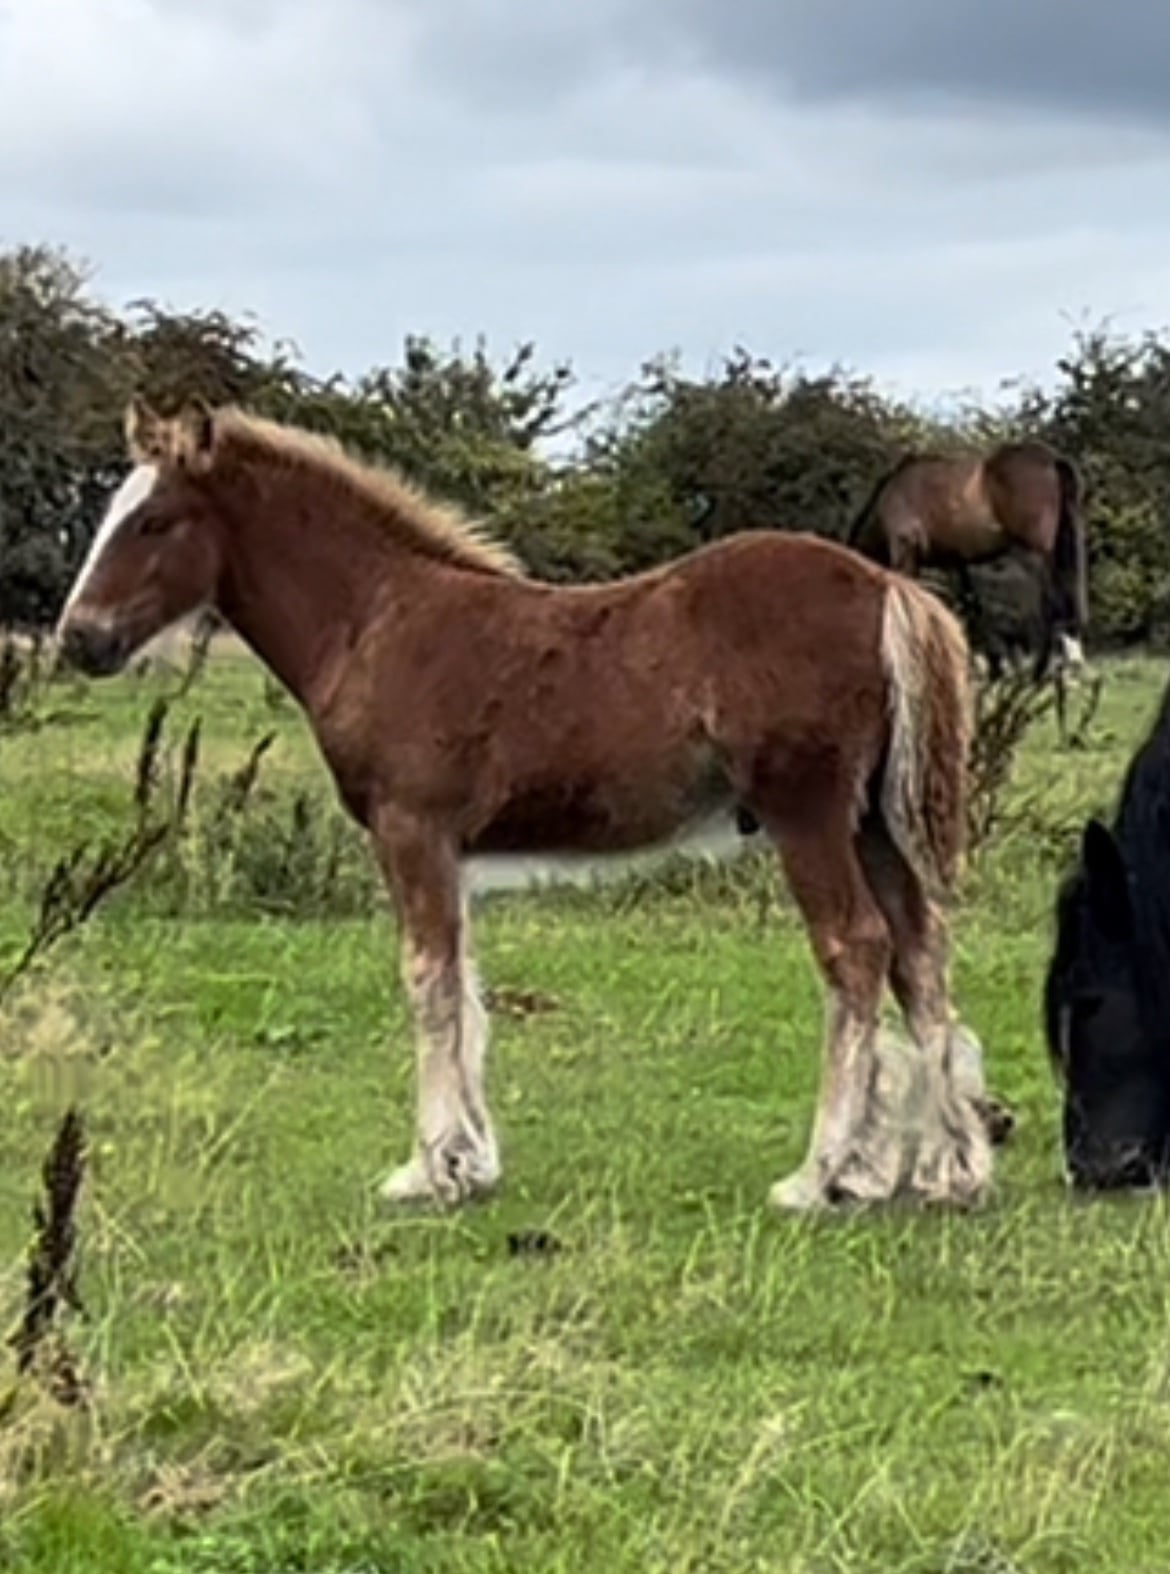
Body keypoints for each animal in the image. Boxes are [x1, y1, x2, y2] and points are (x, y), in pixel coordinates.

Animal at [54, 399, 993, 1214]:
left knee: (856, 949)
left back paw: (821, 1174)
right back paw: (948, 1169)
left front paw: (430, 1168)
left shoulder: (410, 831)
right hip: (870, 824)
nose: (78, 638)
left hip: (808, 816)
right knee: (920, 952)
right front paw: (471, 1161)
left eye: (153, 521)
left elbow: (427, 980)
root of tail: (888, 588)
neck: (379, 619)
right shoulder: (449, 851)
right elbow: (464, 984)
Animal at [846, 441, 1087, 682]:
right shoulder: (956, 562)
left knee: (1051, 605)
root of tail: (1051, 459)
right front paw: (989, 667)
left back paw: (1040, 672)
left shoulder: (906, 554)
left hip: (1036, 555)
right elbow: (970, 606)